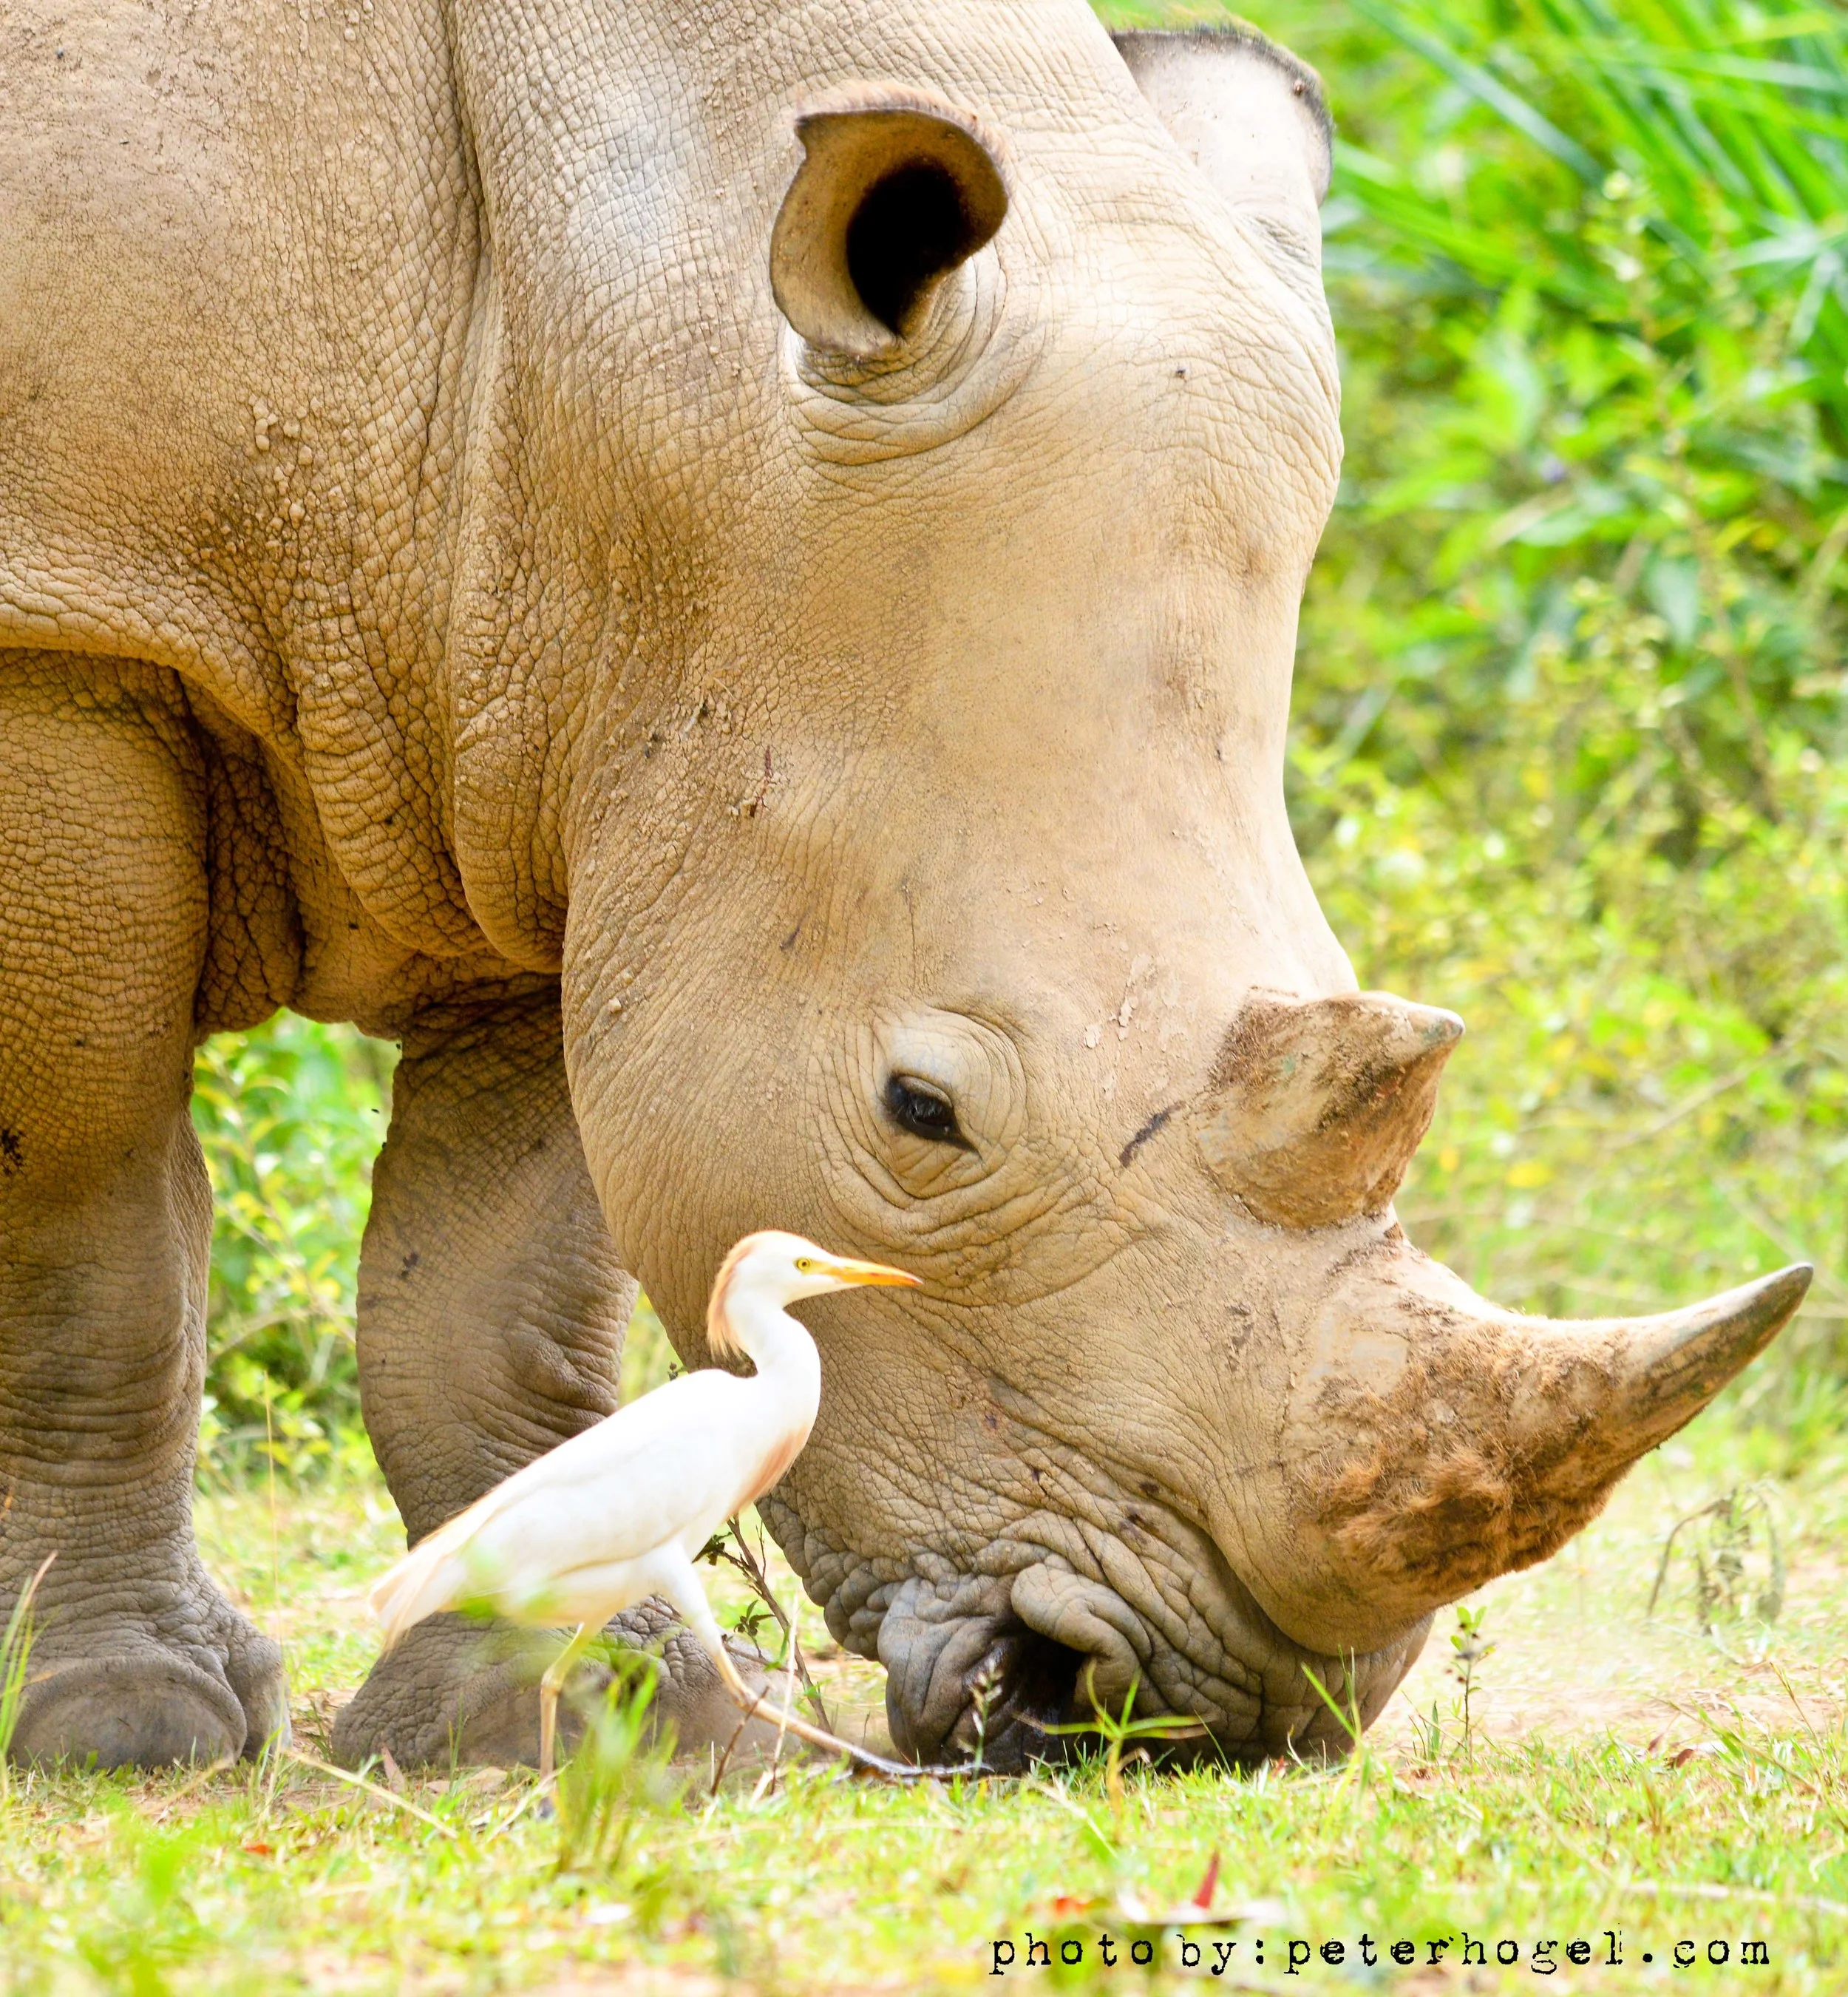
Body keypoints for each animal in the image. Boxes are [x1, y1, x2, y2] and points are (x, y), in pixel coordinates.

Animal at [0, 0, 1807, 1773]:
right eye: (919, 1112)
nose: (1222, 1713)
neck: (645, 351)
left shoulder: (572, 751)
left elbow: (494, 1290)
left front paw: (599, 1734)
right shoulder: (71, 637)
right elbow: (95, 1237)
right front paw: (126, 1730)